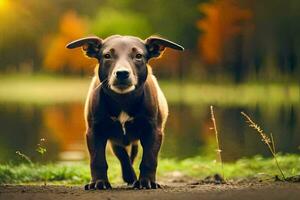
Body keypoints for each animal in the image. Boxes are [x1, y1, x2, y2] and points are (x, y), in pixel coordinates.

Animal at [66, 35, 183, 190]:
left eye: (138, 56)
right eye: (107, 56)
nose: (122, 73)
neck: (123, 100)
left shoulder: (154, 131)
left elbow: (149, 158)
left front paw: (147, 181)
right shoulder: (94, 131)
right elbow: (97, 160)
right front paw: (99, 182)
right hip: (116, 139)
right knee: (122, 156)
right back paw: (129, 175)